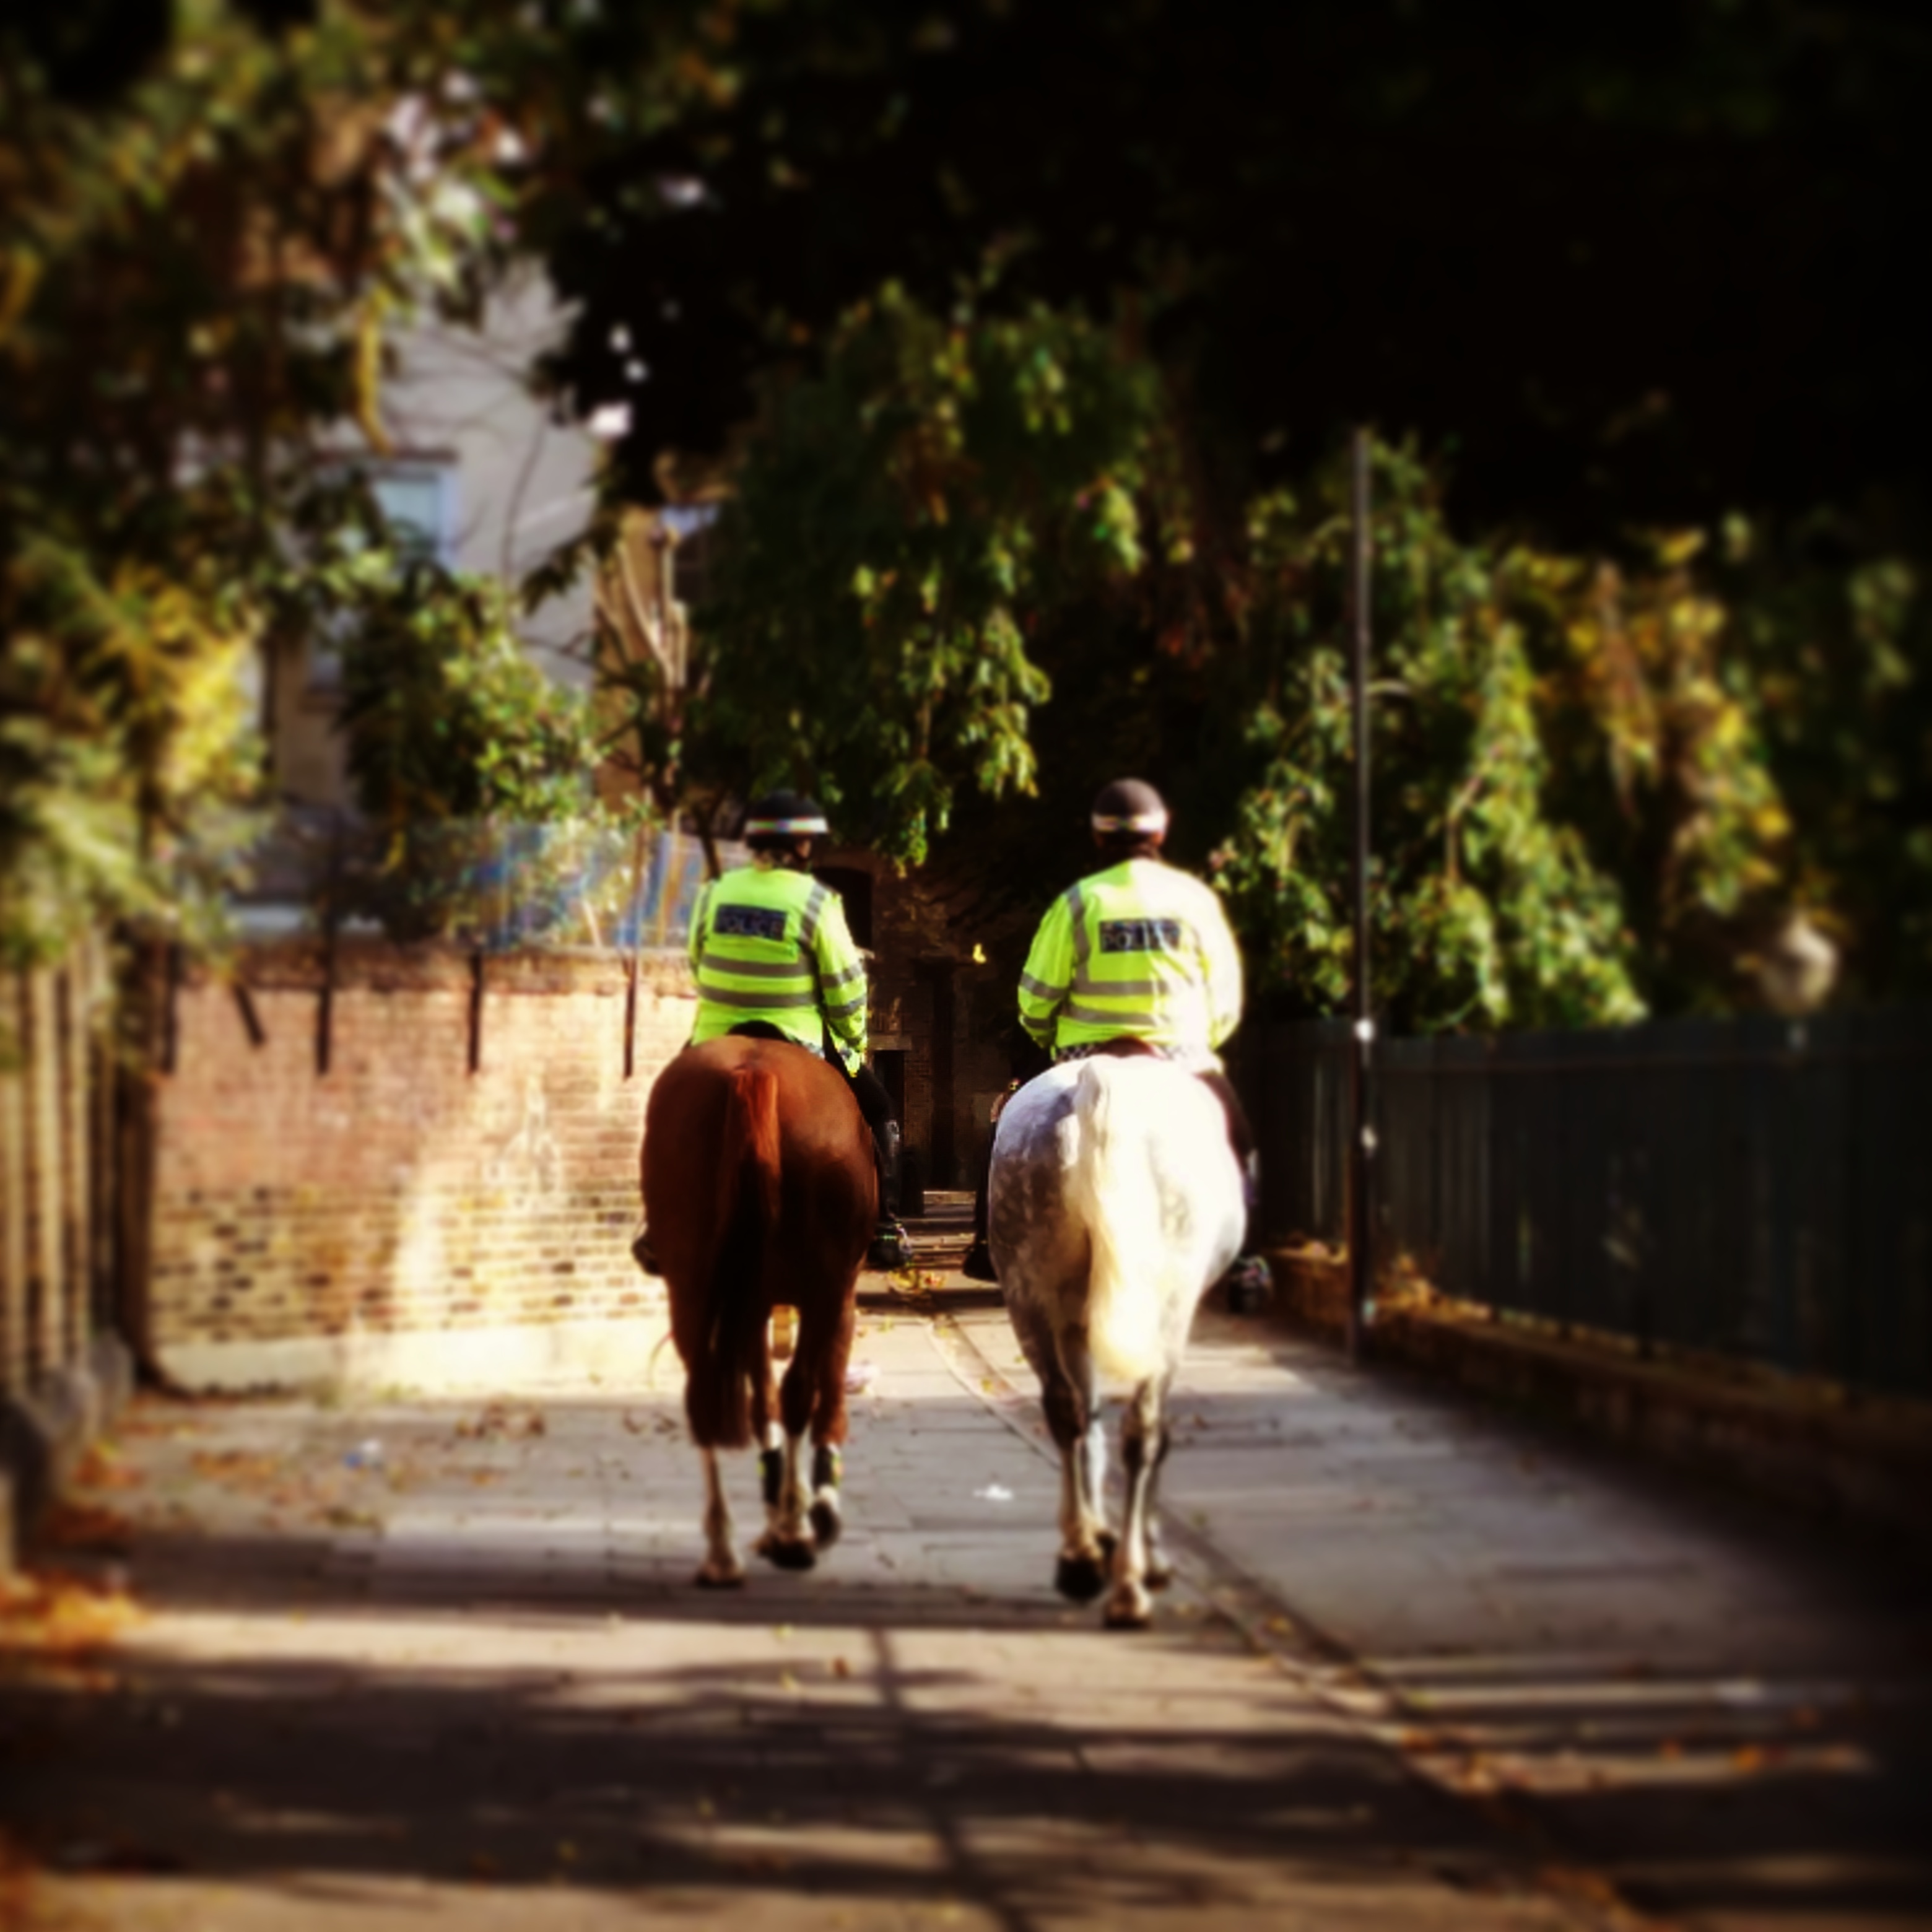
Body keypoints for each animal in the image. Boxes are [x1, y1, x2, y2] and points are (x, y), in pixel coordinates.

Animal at [639, 1032, 875, 1584]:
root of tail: (752, 1071)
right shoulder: (840, 1295)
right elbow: (822, 1392)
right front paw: (816, 1503)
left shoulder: (751, 1302)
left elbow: (760, 1398)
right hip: (824, 1287)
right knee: (799, 1393)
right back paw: (793, 1529)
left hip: (694, 1285)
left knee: (704, 1399)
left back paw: (724, 1551)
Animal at [989, 1053, 1245, 1628]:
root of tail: (1093, 1086)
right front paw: (1151, 1555)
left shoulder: (1074, 1321)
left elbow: (1088, 1419)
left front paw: (1095, 1536)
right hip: (1164, 1307)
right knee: (1142, 1432)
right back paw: (1130, 1584)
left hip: (1029, 1288)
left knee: (1065, 1411)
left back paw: (1081, 1557)